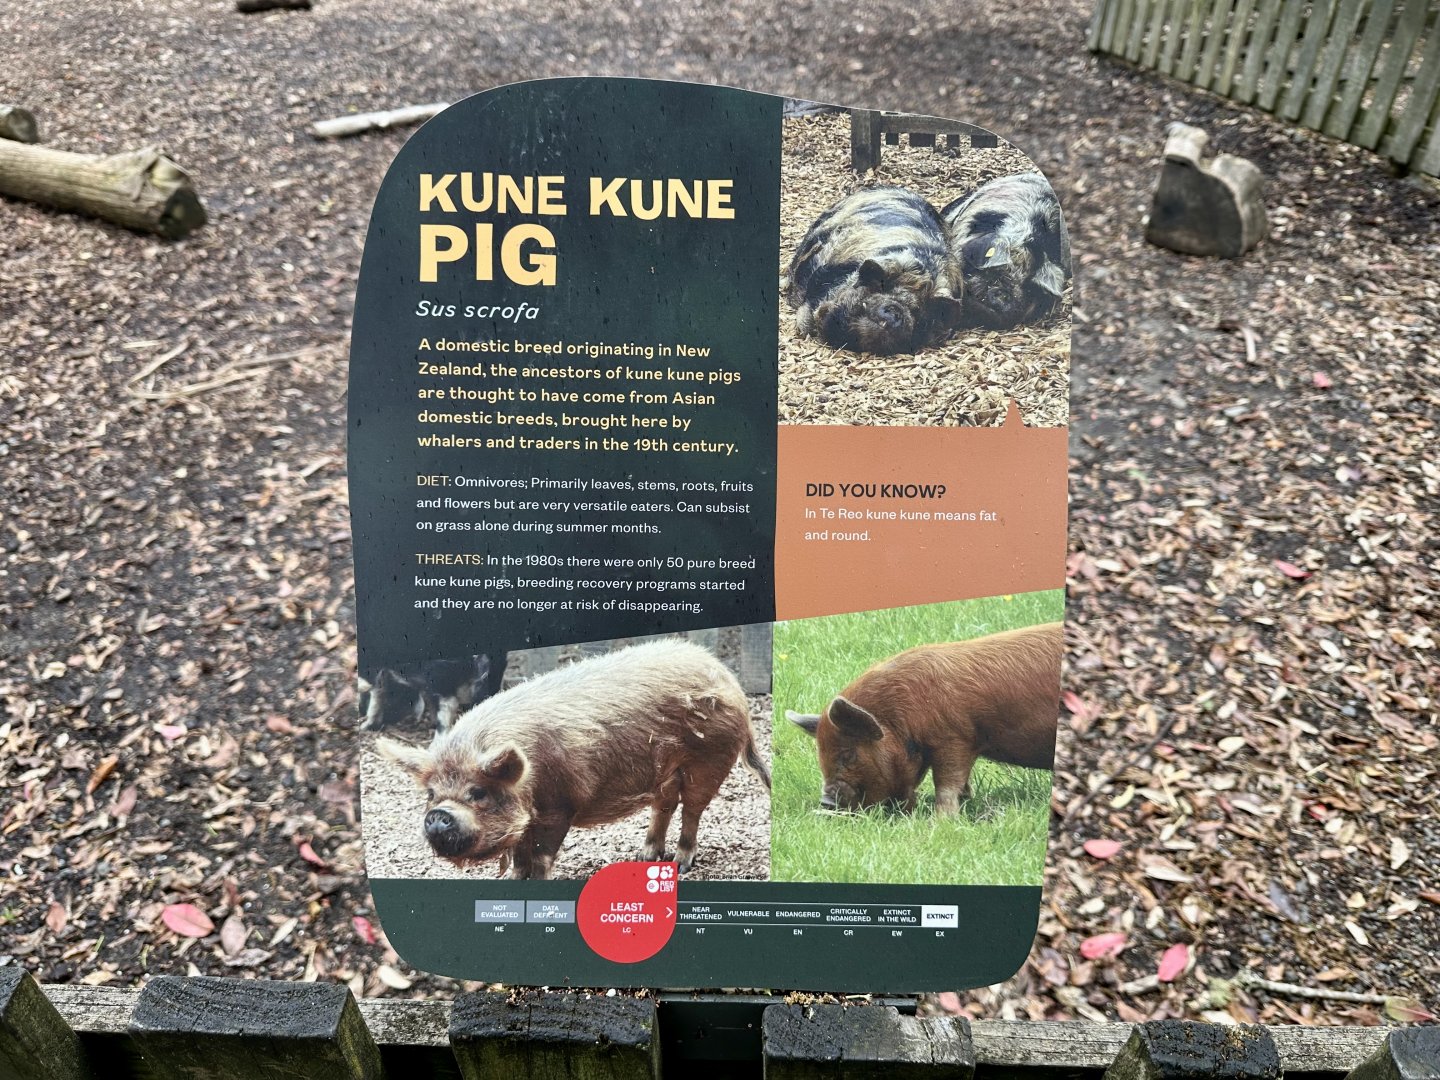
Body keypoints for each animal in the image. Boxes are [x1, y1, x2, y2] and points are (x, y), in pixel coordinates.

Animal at [379, 639, 770, 879]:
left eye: (478, 792)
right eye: (431, 794)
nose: (437, 816)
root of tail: (728, 677)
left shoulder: (559, 806)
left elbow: (541, 856)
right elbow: (519, 857)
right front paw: (514, 880)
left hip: (710, 760)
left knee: (692, 809)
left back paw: (680, 864)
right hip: (664, 771)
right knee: (665, 805)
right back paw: (645, 857)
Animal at [786, 622, 1061, 815]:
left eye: (848, 754)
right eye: (820, 754)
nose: (825, 801)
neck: (900, 717)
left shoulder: (955, 737)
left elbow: (947, 782)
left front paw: (942, 819)